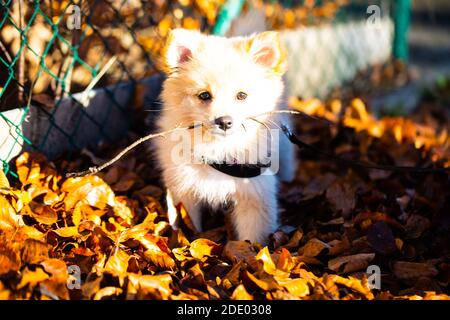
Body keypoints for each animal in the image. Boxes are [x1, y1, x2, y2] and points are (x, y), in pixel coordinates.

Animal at [155, 28, 296, 244]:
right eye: (204, 95)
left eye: (242, 96)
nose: (224, 121)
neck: (220, 152)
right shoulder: (184, 191)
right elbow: (191, 227)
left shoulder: (254, 195)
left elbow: (253, 238)